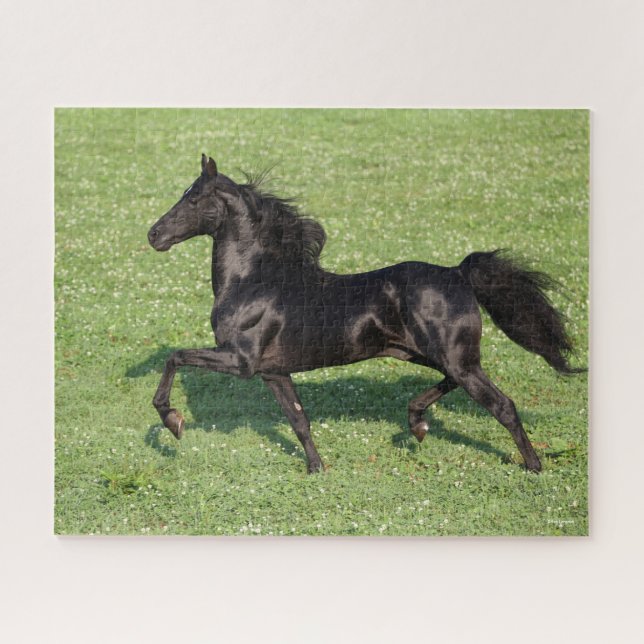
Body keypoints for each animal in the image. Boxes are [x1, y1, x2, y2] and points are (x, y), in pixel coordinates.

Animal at [147, 154, 583, 474]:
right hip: (431, 354)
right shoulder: (273, 372)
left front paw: (173, 421)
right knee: (453, 384)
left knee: (502, 405)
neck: (253, 280)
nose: (153, 235)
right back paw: (417, 423)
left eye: (193, 198)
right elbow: (299, 420)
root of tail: (458, 272)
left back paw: (533, 466)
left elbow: (175, 357)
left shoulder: (240, 361)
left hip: (454, 359)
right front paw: (317, 469)